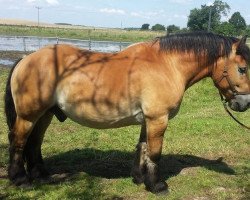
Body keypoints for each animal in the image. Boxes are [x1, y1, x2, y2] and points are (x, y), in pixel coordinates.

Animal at [3, 32, 250, 193]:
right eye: (242, 68)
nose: (245, 103)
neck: (167, 65)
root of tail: (26, 59)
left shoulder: (147, 120)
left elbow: (142, 148)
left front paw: (140, 178)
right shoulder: (158, 119)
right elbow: (155, 153)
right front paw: (157, 185)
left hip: (45, 115)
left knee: (34, 143)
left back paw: (42, 176)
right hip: (28, 116)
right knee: (18, 141)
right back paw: (20, 180)